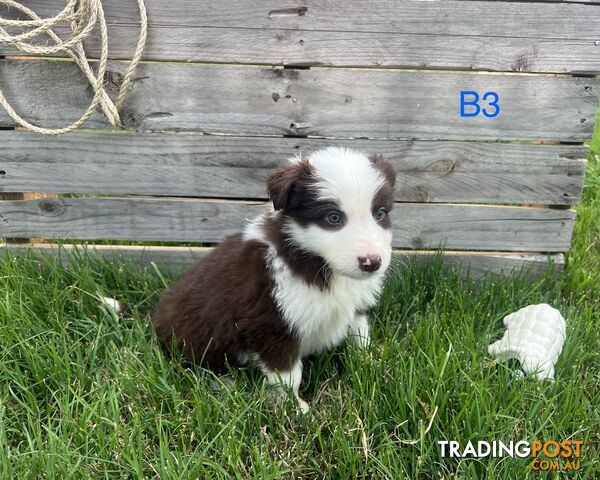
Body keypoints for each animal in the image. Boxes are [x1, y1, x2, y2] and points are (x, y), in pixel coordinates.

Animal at [149, 147, 394, 412]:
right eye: (333, 217)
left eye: (380, 214)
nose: (372, 263)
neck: (316, 262)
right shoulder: (270, 323)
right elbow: (289, 376)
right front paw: (296, 409)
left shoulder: (355, 306)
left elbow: (360, 335)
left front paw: (371, 364)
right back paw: (226, 384)